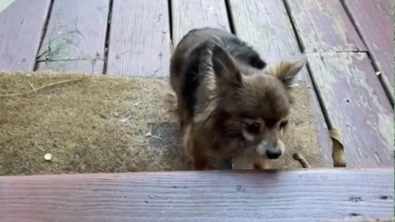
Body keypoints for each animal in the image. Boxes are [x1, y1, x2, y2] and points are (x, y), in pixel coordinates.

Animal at [169, 27, 308, 170]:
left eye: (283, 124)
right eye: (253, 126)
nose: (275, 153)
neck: (233, 134)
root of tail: (197, 29)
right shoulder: (197, 140)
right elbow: (201, 161)